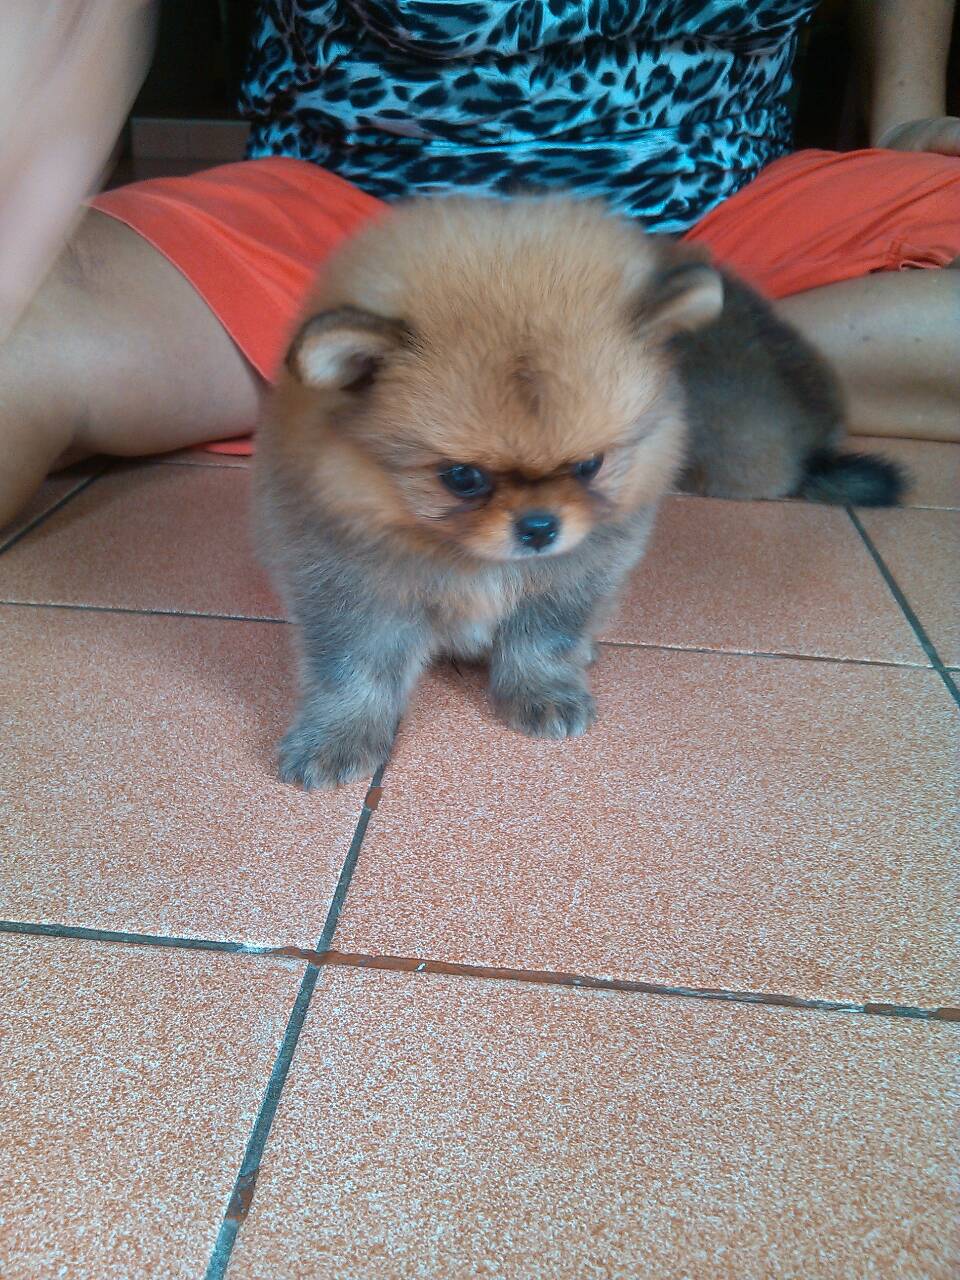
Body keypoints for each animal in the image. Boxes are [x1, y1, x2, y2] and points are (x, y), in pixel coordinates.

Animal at [255, 196, 905, 788]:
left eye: (590, 464)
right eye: (463, 478)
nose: (540, 527)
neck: (468, 559)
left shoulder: (576, 572)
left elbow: (543, 637)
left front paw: (542, 690)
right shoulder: (351, 583)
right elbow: (354, 668)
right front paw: (339, 736)